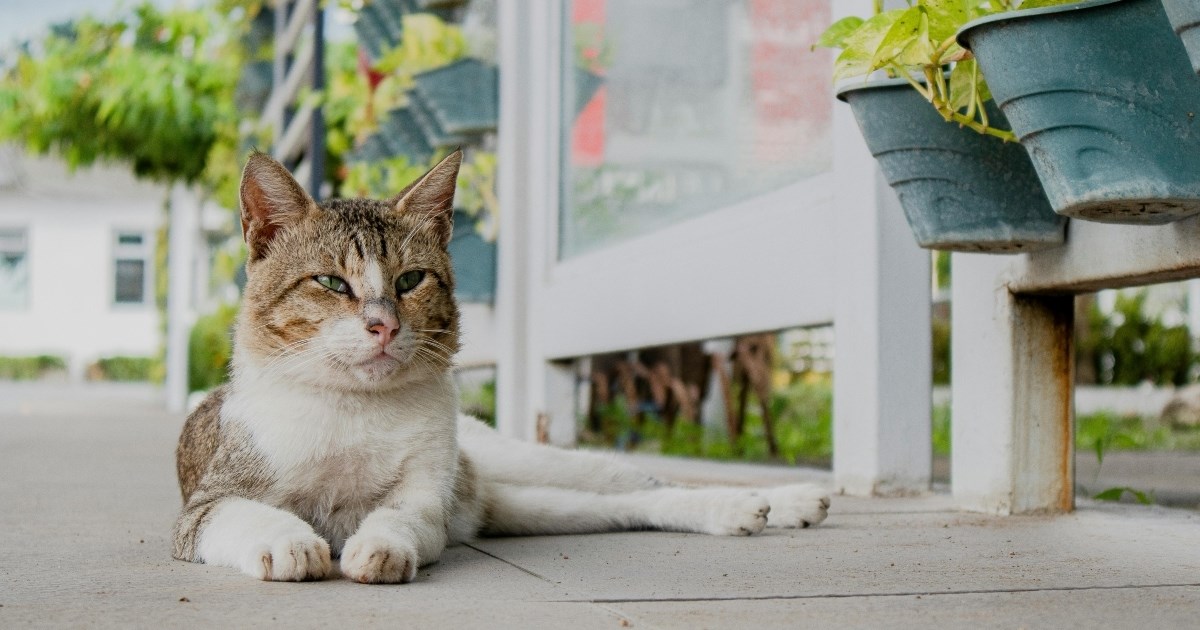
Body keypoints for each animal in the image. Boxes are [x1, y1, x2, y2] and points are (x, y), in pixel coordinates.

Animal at [169, 150, 830, 583]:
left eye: (410, 281)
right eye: (331, 283)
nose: (384, 325)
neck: (353, 409)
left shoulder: (426, 500)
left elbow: (399, 517)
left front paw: (378, 548)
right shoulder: (204, 507)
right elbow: (242, 514)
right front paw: (288, 541)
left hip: (525, 465)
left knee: (650, 484)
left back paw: (779, 500)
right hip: (529, 505)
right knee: (634, 508)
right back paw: (753, 511)